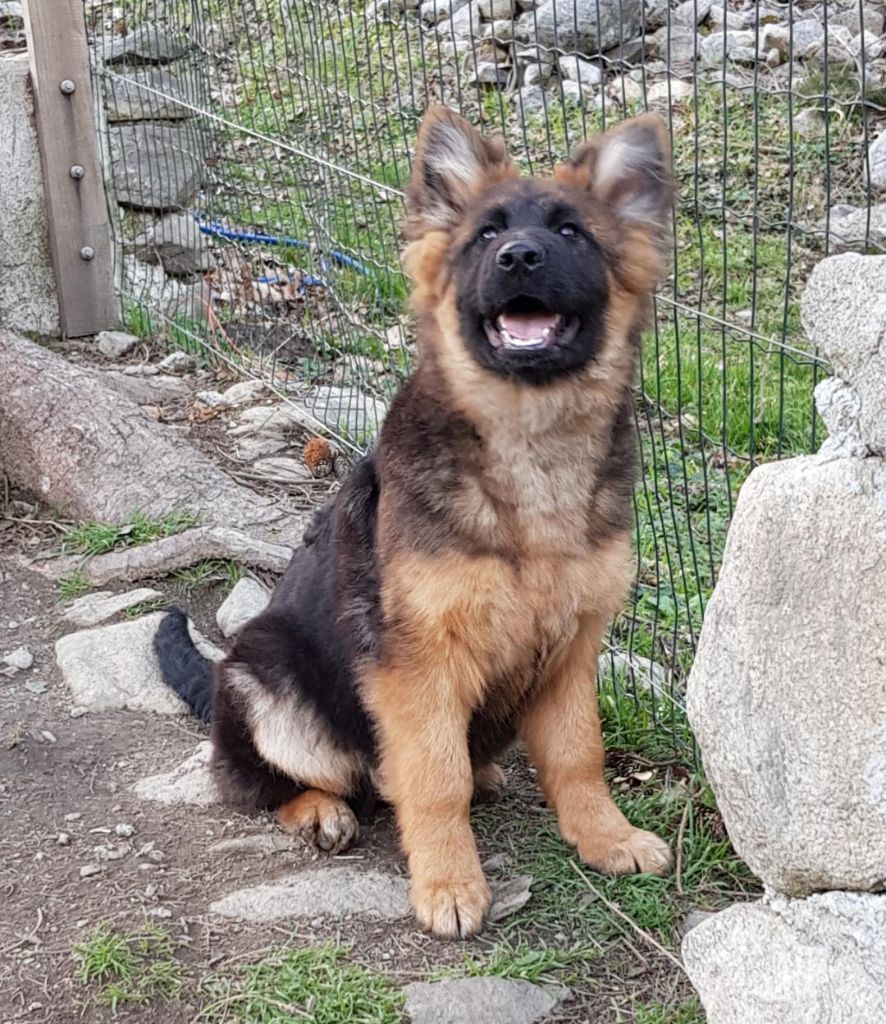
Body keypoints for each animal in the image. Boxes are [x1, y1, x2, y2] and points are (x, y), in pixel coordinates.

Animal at [155, 108, 676, 937]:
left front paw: (606, 836)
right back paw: (317, 810)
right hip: (268, 680)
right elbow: (434, 778)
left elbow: (577, 755)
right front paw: (449, 884)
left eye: (571, 231)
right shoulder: (418, 664)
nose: (519, 257)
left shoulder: (572, 649)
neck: (529, 445)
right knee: (255, 782)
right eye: (486, 236)